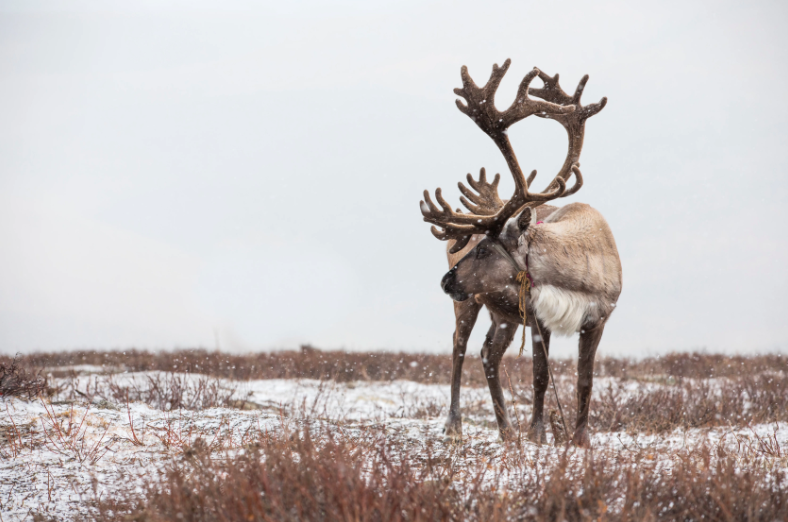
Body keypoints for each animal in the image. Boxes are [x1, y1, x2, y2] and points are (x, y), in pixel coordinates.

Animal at [420, 59, 621, 448]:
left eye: (485, 249)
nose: (445, 281)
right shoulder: (541, 319)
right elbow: (540, 377)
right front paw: (538, 433)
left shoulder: (598, 320)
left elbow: (585, 381)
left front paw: (580, 439)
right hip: (469, 303)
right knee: (459, 346)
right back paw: (455, 424)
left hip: (505, 316)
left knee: (489, 353)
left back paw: (505, 429)